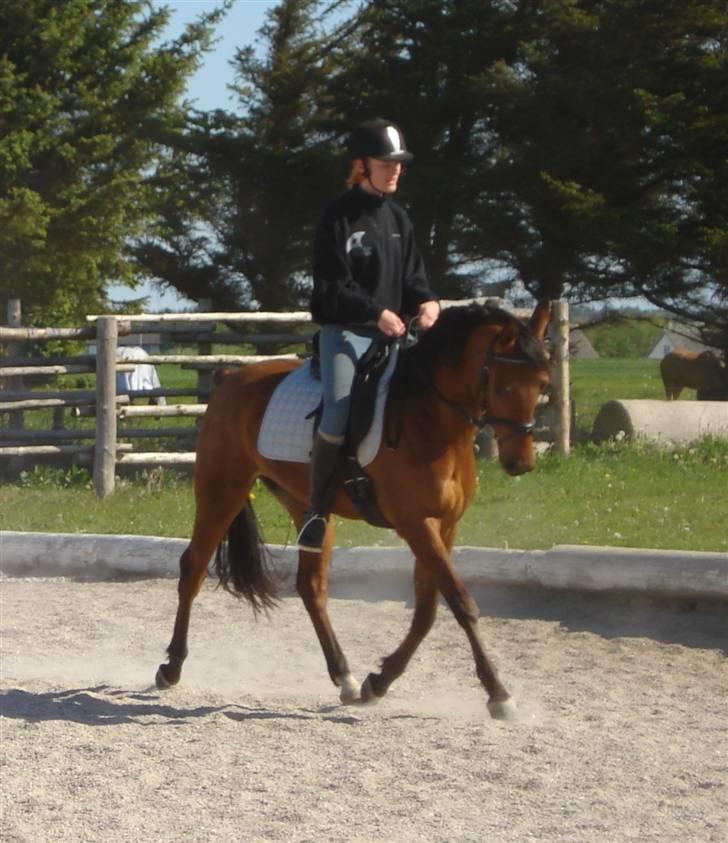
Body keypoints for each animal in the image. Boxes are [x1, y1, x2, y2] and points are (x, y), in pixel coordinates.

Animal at [155, 302, 552, 720]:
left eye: (543, 383)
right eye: (503, 385)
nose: (521, 463)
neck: (429, 419)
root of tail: (231, 376)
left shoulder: (444, 526)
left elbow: (427, 610)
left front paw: (378, 681)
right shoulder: (415, 524)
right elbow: (462, 602)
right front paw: (498, 693)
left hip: (307, 507)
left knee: (311, 586)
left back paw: (344, 676)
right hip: (222, 491)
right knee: (194, 567)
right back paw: (172, 667)